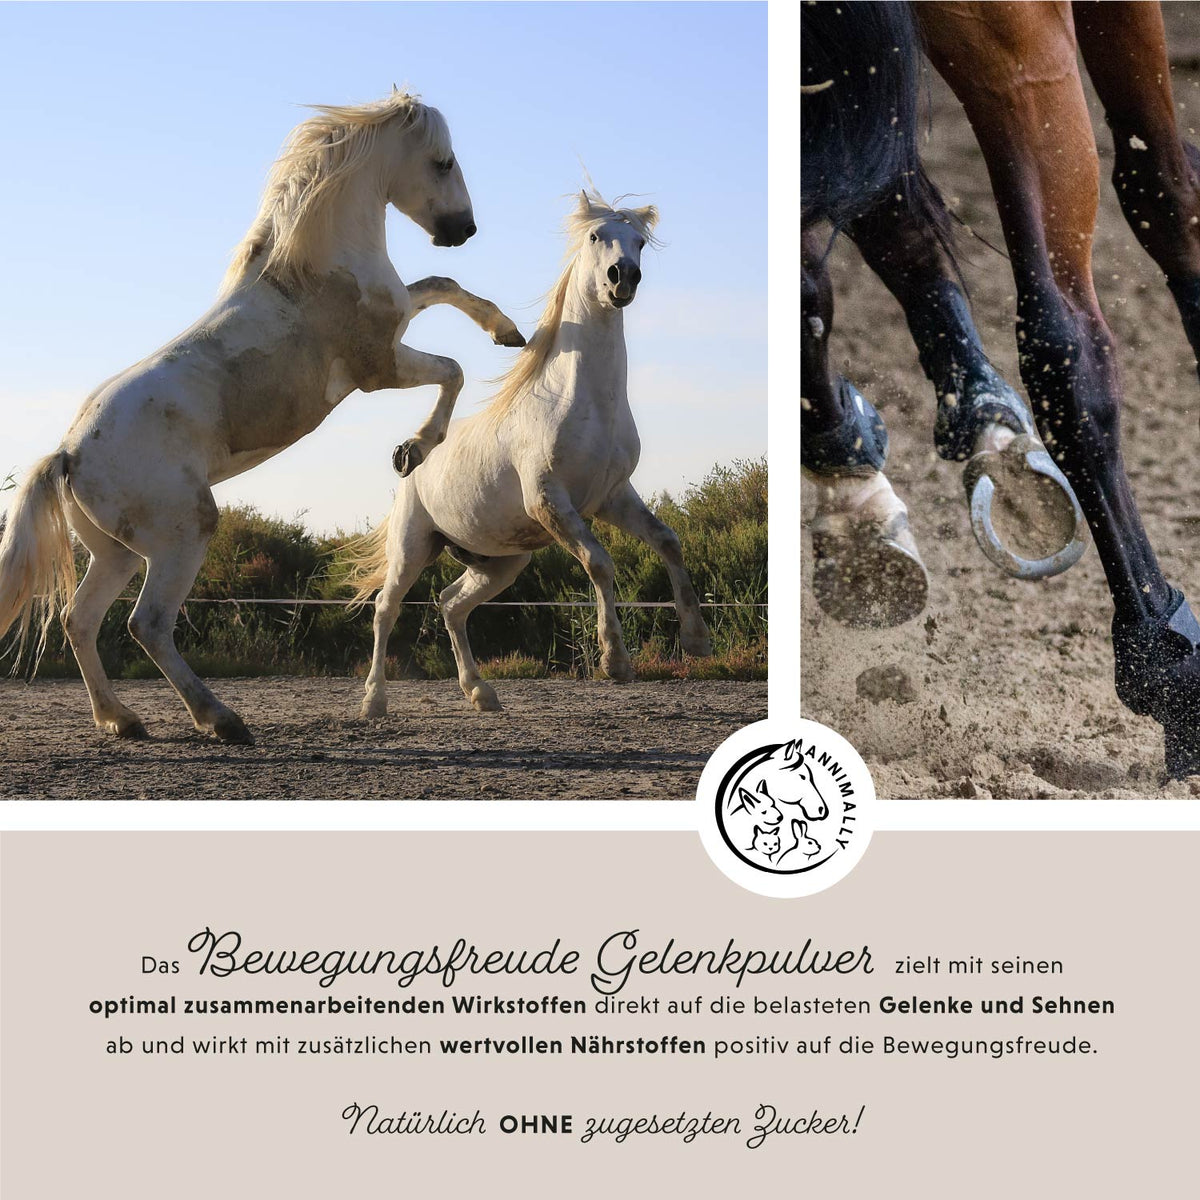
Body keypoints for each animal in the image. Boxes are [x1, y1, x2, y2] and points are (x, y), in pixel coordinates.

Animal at [0, 88, 525, 746]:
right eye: (442, 161)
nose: (463, 229)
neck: (313, 268)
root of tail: (69, 454)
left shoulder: (397, 321)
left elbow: (443, 286)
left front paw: (508, 332)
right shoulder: (378, 367)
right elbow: (451, 368)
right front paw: (414, 449)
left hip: (116, 551)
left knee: (80, 620)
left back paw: (123, 720)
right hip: (182, 533)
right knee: (147, 625)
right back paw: (222, 720)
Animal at [344, 191, 714, 718]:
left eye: (640, 243)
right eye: (596, 236)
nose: (623, 278)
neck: (585, 403)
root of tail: (411, 467)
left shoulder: (612, 497)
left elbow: (668, 541)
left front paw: (697, 640)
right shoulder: (550, 500)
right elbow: (600, 562)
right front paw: (615, 661)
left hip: (500, 562)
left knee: (451, 604)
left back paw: (481, 692)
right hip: (412, 546)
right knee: (386, 609)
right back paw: (374, 701)